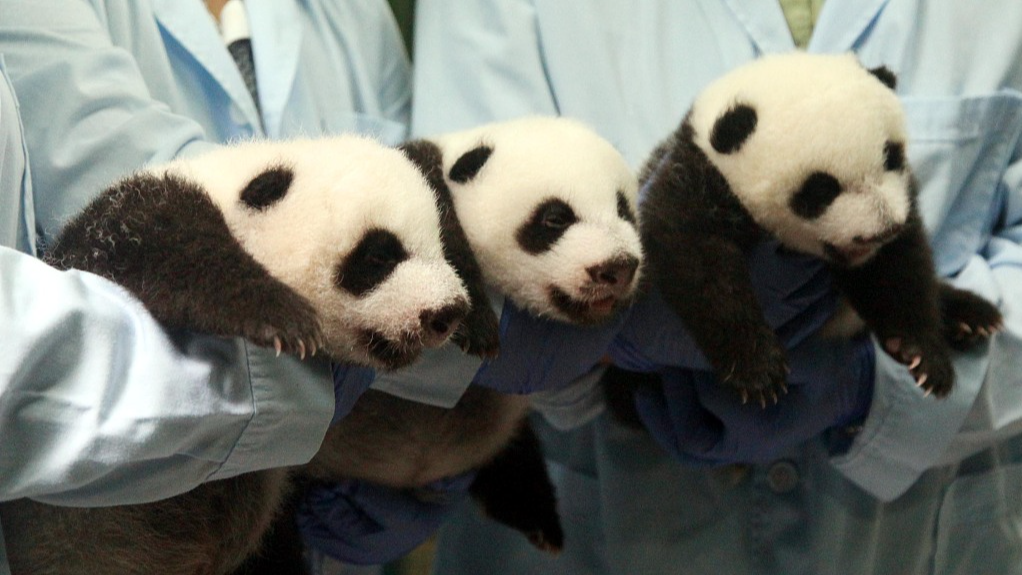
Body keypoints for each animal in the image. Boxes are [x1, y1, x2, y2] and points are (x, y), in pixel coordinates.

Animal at [0, 137, 472, 575]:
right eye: (379, 255)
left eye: (438, 242)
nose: (448, 312)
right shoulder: (128, 218)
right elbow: (159, 249)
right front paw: (281, 316)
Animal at [240, 116, 644, 570]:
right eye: (556, 218)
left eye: (624, 210)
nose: (618, 268)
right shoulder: (418, 180)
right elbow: (440, 234)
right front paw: (477, 325)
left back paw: (537, 517)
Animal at [609, 52, 1003, 412]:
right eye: (820, 190)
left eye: (891, 156)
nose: (881, 230)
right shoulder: (695, 179)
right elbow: (700, 263)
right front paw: (758, 369)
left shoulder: (900, 199)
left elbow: (900, 270)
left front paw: (925, 356)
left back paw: (973, 317)